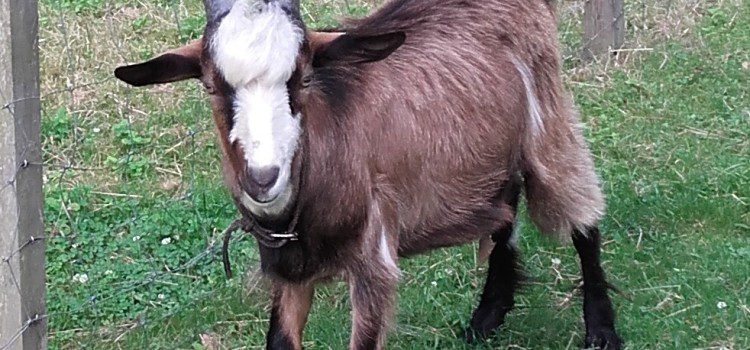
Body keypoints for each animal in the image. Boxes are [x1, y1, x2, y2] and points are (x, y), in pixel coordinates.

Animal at [116, 0, 624, 348]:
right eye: (211, 85)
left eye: (302, 78)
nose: (264, 178)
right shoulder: (290, 271)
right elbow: (279, 338)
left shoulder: (372, 260)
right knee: (507, 209)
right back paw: (487, 317)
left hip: (548, 120)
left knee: (580, 214)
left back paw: (601, 329)